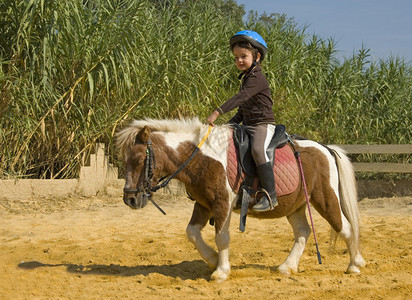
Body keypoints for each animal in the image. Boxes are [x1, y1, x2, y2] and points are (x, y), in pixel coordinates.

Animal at [115, 118, 364, 282]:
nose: (130, 199)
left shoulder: (221, 203)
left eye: (139, 159)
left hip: (326, 198)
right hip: (295, 205)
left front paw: (221, 271)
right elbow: (192, 233)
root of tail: (325, 149)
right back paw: (287, 267)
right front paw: (213, 259)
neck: (202, 158)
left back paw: (354, 265)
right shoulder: (203, 204)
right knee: (303, 231)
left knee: (345, 228)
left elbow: (222, 237)